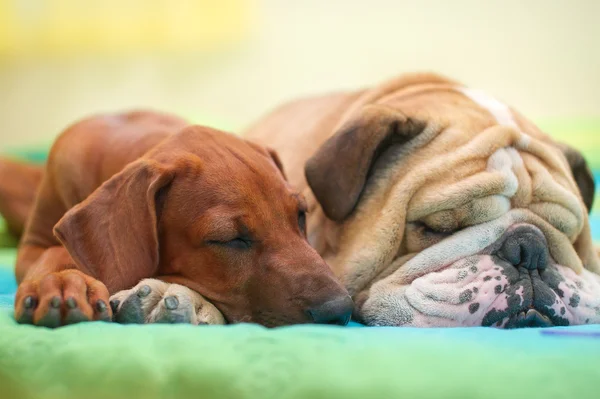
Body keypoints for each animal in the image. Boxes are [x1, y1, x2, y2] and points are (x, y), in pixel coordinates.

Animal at [5, 110, 352, 328]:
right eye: (230, 239)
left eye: (301, 216)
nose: (341, 310)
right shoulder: (35, 242)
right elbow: (53, 252)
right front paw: (62, 282)